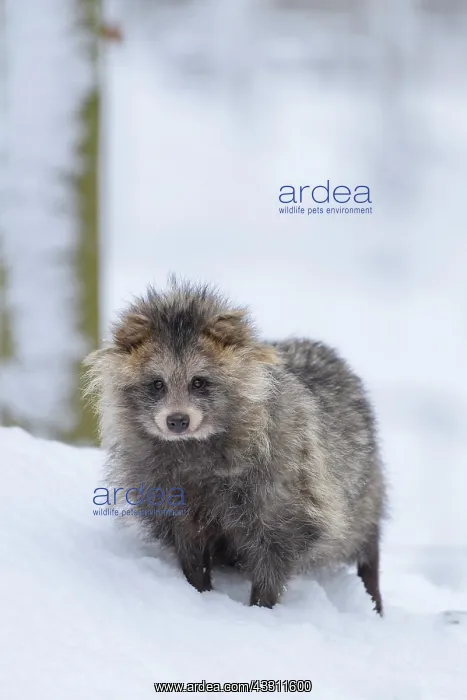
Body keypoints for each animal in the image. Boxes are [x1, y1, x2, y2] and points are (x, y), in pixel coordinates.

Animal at [85, 280, 386, 613]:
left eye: (199, 382)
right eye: (157, 384)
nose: (177, 421)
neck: (193, 447)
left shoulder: (286, 482)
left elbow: (276, 550)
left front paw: (261, 608)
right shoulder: (165, 489)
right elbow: (188, 544)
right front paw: (199, 589)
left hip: (362, 486)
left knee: (365, 542)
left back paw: (372, 592)